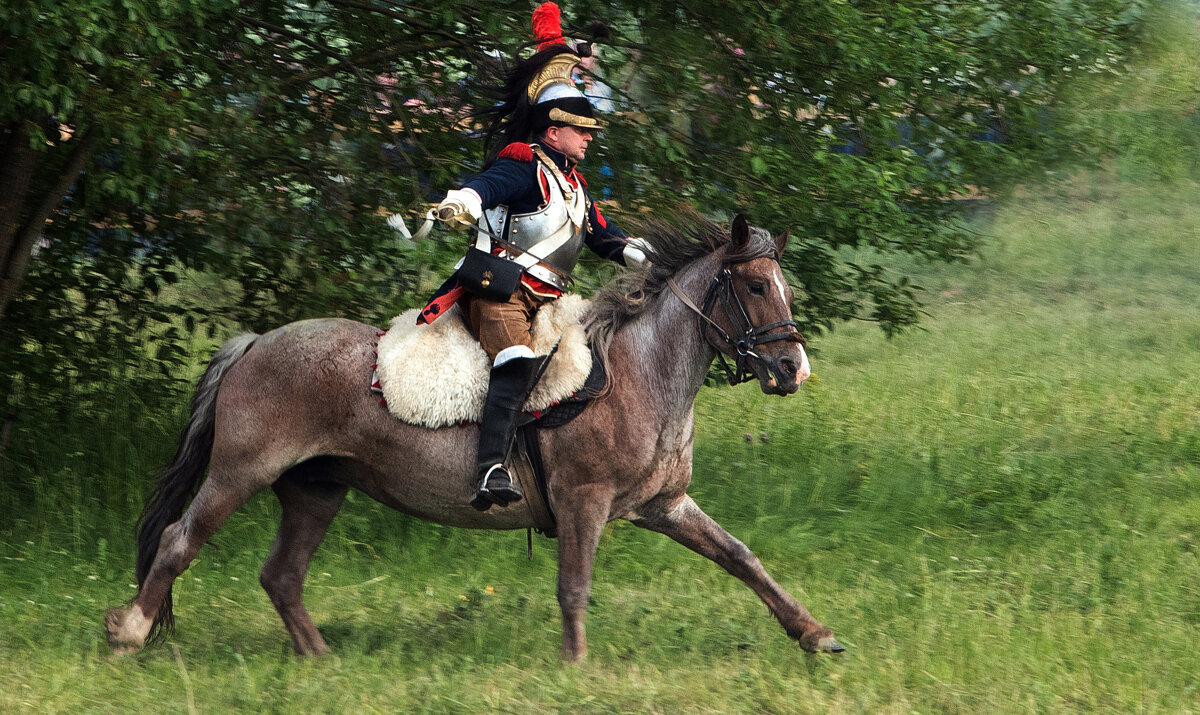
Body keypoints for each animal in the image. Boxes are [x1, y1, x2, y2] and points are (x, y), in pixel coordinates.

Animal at [108, 211, 849, 657]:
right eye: (756, 286)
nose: (794, 368)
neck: (637, 372)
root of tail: (256, 343)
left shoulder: (663, 505)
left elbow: (742, 557)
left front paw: (815, 633)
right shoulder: (583, 503)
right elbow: (574, 585)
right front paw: (576, 668)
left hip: (315, 489)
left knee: (282, 574)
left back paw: (319, 658)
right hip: (240, 473)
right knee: (178, 541)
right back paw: (128, 630)